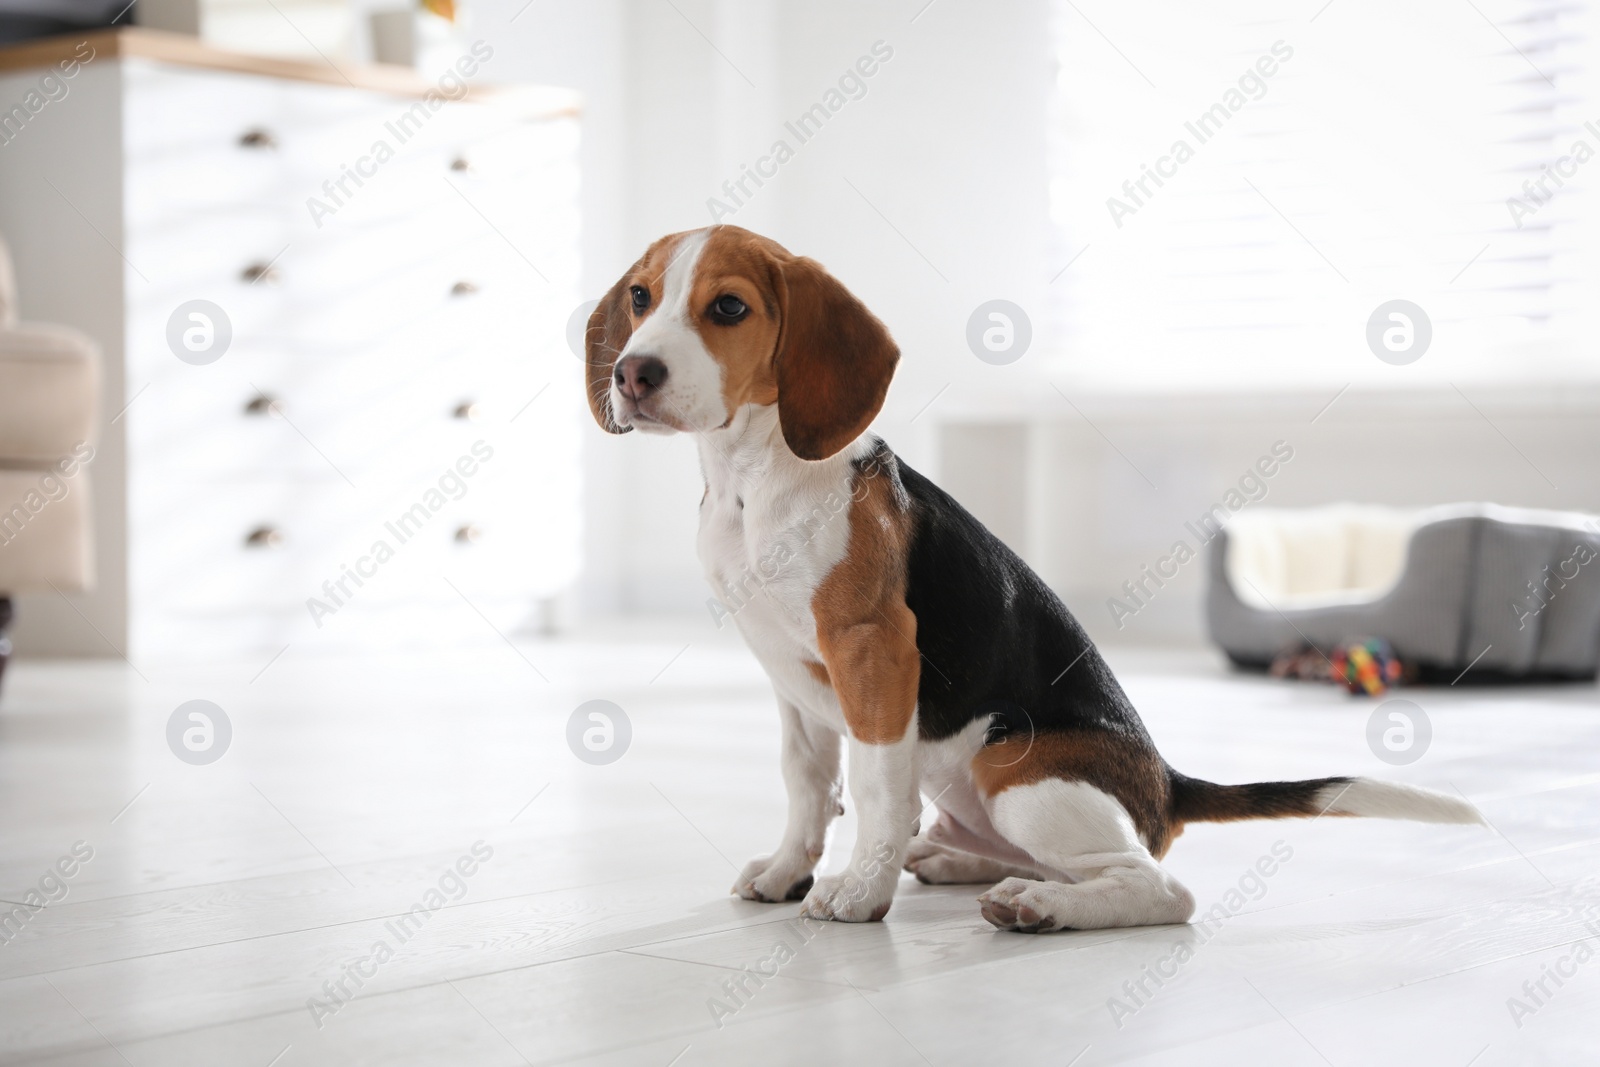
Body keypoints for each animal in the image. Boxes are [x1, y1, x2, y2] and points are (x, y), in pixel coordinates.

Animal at [588, 227, 1484, 934]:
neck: (753, 478)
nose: (632, 374)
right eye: (640, 297)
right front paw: (788, 870)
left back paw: (1040, 906)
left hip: (1012, 769)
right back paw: (959, 862)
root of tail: (1165, 783)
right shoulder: (789, 676)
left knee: (1160, 888)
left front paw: (858, 890)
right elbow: (808, 786)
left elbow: (874, 786)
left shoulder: (873, 649)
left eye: (728, 308)